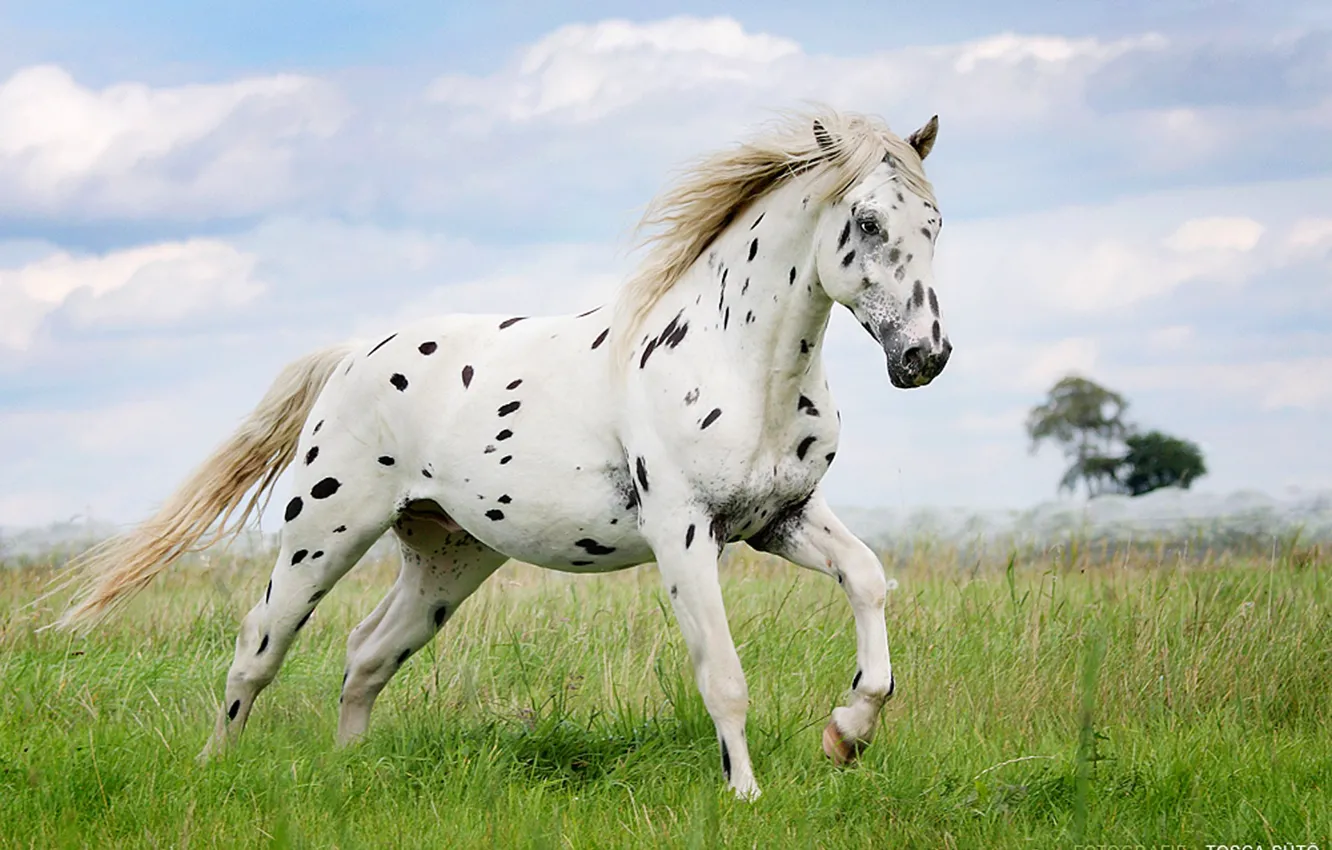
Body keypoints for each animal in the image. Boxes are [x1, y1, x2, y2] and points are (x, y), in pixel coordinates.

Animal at [55, 107, 950, 800]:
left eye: (934, 223)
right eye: (867, 222)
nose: (925, 357)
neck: (732, 360)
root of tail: (350, 357)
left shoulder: (782, 518)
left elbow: (869, 581)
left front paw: (847, 733)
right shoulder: (685, 535)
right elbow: (722, 676)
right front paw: (747, 795)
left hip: (448, 558)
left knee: (366, 655)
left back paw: (351, 771)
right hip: (323, 536)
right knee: (255, 650)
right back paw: (216, 767)